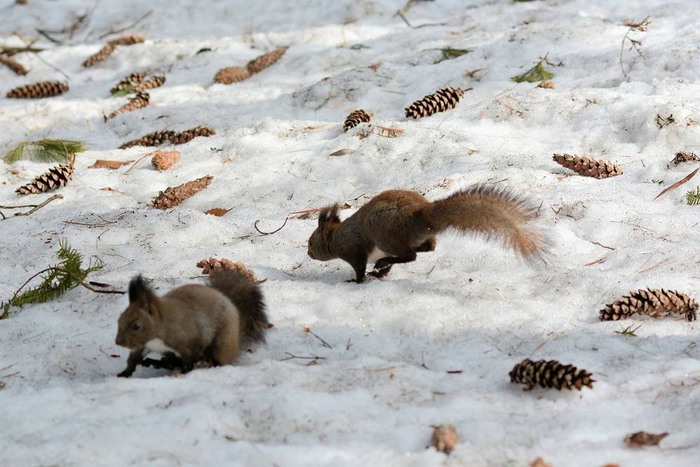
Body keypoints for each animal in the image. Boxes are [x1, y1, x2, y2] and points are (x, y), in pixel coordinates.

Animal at [115, 268, 268, 378]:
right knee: (171, 361)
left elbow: (190, 360)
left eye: (136, 326)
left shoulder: (190, 342)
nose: (118, 342)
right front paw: (125, 372)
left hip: (221, 342)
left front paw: (185, 371)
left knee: (218, 360)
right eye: (119, 319)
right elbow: (133, 358)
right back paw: (157, 362)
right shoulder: (144, 344)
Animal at [306, 186, 548, 282]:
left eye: (310, 242)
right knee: (426, 248)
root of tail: (419, 215)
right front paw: (380, 273)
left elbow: (359, 269)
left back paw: (383, 262)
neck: (336, 237)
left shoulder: (354, 250)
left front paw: (357, 280)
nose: (308, 254)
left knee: (410, 255)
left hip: (387, 238)